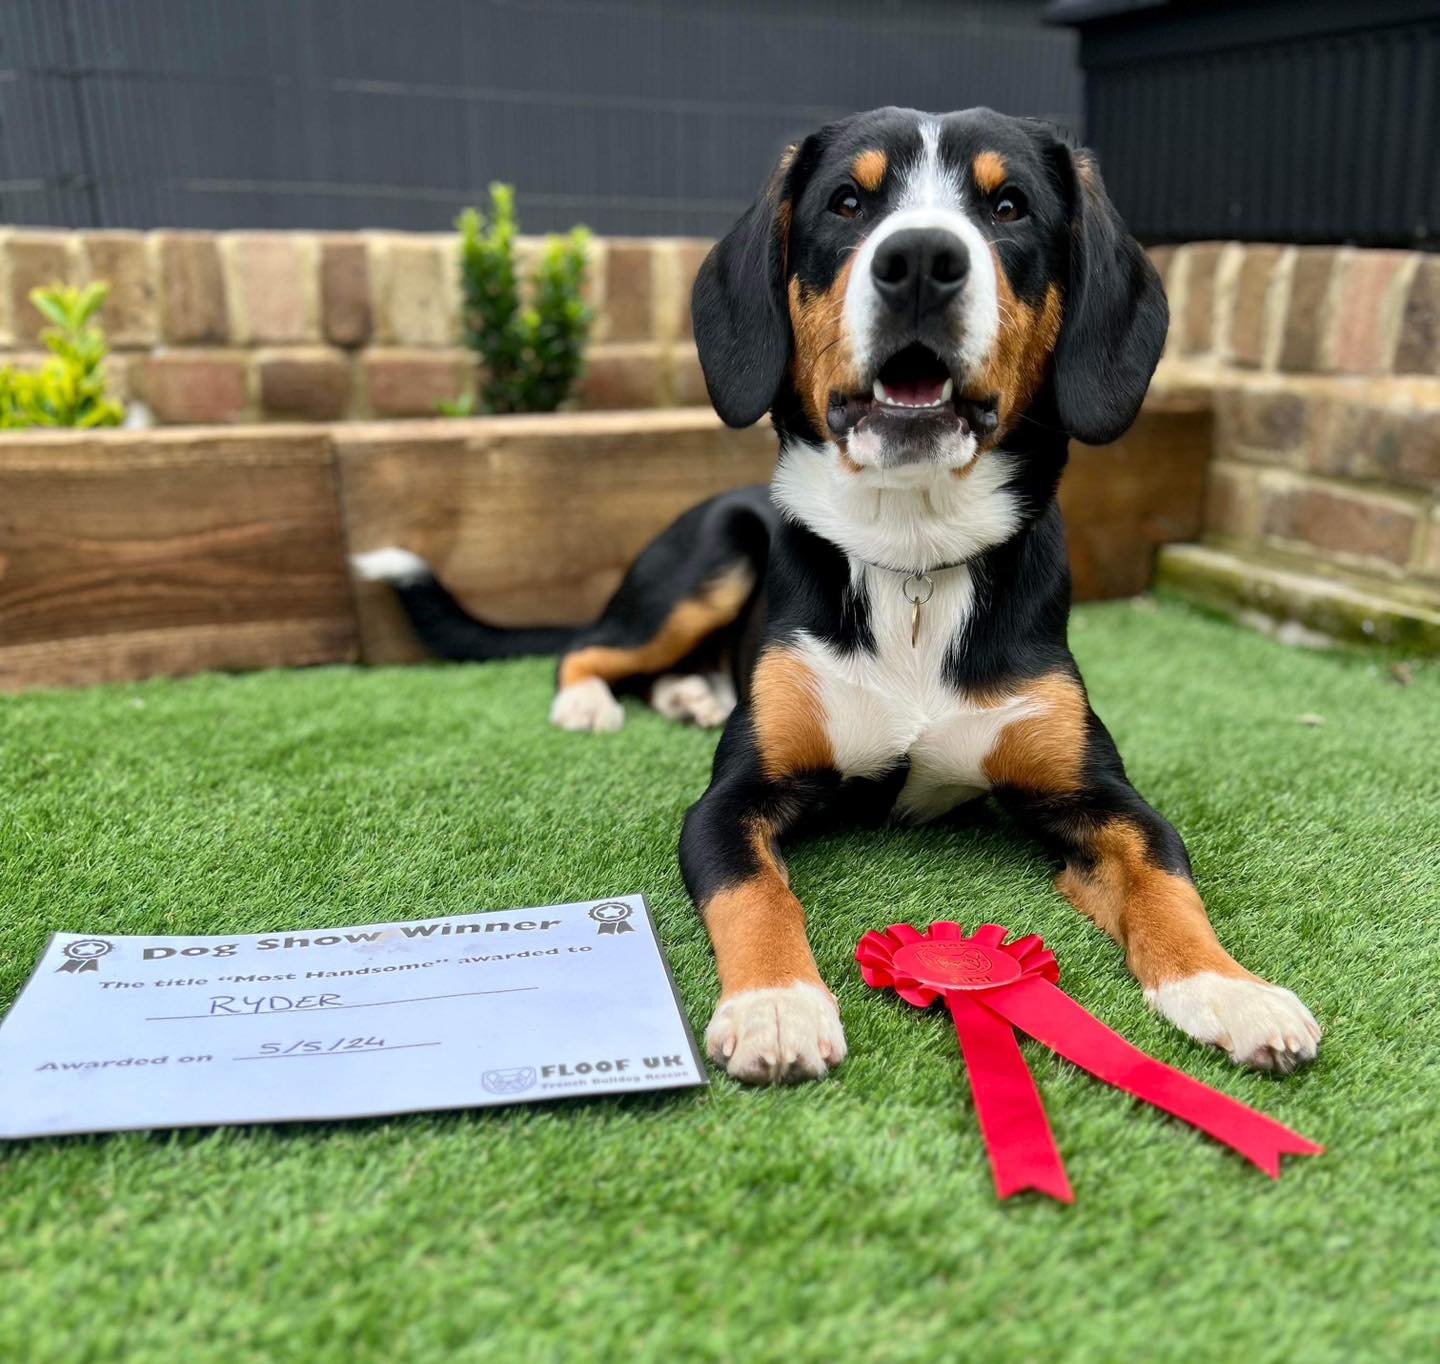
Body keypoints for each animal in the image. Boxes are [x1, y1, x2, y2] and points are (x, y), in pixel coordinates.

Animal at [354, 106, 1319, 1088]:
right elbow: (756, 894)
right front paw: (777, 1006)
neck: (914, 560)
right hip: (708, 559)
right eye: (847, 202)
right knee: (586, 647)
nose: (922, 259)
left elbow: (1166, 875)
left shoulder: (1099, 796)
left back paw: (694, 693)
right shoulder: (733, 800)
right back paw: (594, 704)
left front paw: (1230, 988)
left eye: (1009, 204)